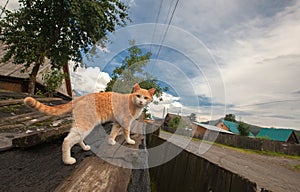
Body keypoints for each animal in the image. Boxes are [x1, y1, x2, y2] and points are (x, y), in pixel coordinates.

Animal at [23, 83, 155, 164]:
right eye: (138, 96)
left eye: (146, 98)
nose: (141, 101)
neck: (133, 103)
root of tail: (79, 97)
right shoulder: (126, 122)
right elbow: (126, 133)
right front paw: (129, 141)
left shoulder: (117, 123)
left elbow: (113, 133)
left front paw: (111, 141)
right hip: (85, 125)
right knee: (67, 140)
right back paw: (68, 160)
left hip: (81, 126)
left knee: (77, 139)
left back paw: (85, 147)